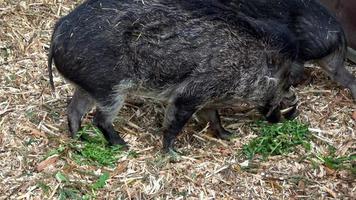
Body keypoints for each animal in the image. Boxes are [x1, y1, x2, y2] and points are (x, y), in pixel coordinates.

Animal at [48, 0, 298, 152]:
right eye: (285, 81)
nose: (290, 109)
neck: (242, 63)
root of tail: (59, 29)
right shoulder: (189, 94)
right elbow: (174, 124)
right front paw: (172, 153)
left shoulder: (207, 98)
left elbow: (214, 118)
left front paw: (229, 135)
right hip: (111, 89)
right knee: (99, 119)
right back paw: (124, 146)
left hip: (89, 87)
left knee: (73, 110)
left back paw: (80, 140)